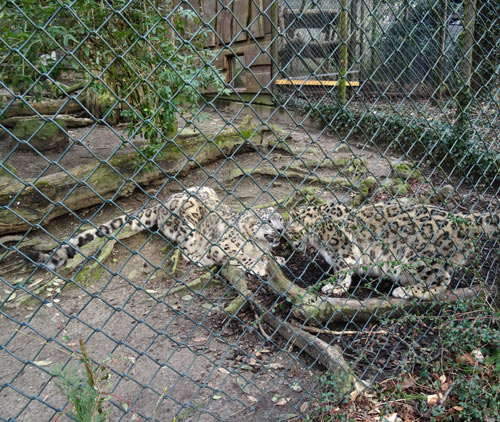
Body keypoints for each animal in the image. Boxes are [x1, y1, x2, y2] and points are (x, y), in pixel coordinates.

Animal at [27, 186, 284, 276]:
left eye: (281, 218)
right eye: (268, 221)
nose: (281, 229)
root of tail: (160, 204)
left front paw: (277, 258)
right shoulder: (223, 245)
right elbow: (238, 255)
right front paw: (259, 265)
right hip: (190, 219)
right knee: (187, 249)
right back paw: (202, 259)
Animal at [288, 202, 498, 298]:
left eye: (287, 231)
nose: (291, 245)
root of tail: (462, 219)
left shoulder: (343, 250)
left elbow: (342, 270)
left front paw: (335, 287)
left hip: (416, 258)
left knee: (442, 279)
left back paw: (404, 291)